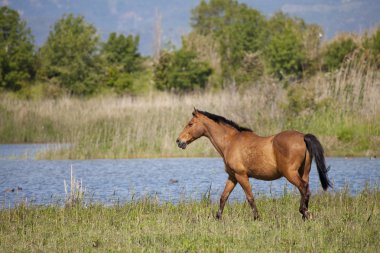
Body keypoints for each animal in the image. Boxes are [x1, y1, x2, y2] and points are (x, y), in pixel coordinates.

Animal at [177, 108, 332, 219]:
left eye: (190, 124)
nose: (179, 141)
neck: (230, 142)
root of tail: (303, 137)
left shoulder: (241, 175)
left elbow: (250, 197)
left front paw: (257, 217)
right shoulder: (232, 177)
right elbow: (223, 197)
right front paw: (218, 217)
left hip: (290, 173)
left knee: (303, 188)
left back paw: (304, 212)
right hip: (304, 171)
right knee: (305, 189)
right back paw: (306, 214)